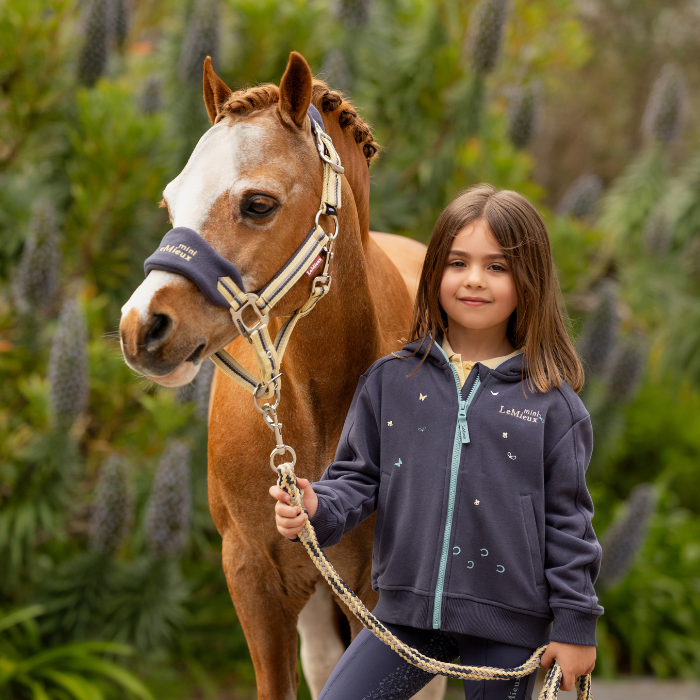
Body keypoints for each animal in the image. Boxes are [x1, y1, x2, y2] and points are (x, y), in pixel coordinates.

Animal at [119, 52, 438, 696]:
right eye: (171, 203)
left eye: (259, 204)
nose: (141, 327)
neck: (315, 411)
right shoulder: (254, 578)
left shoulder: (379, 600)